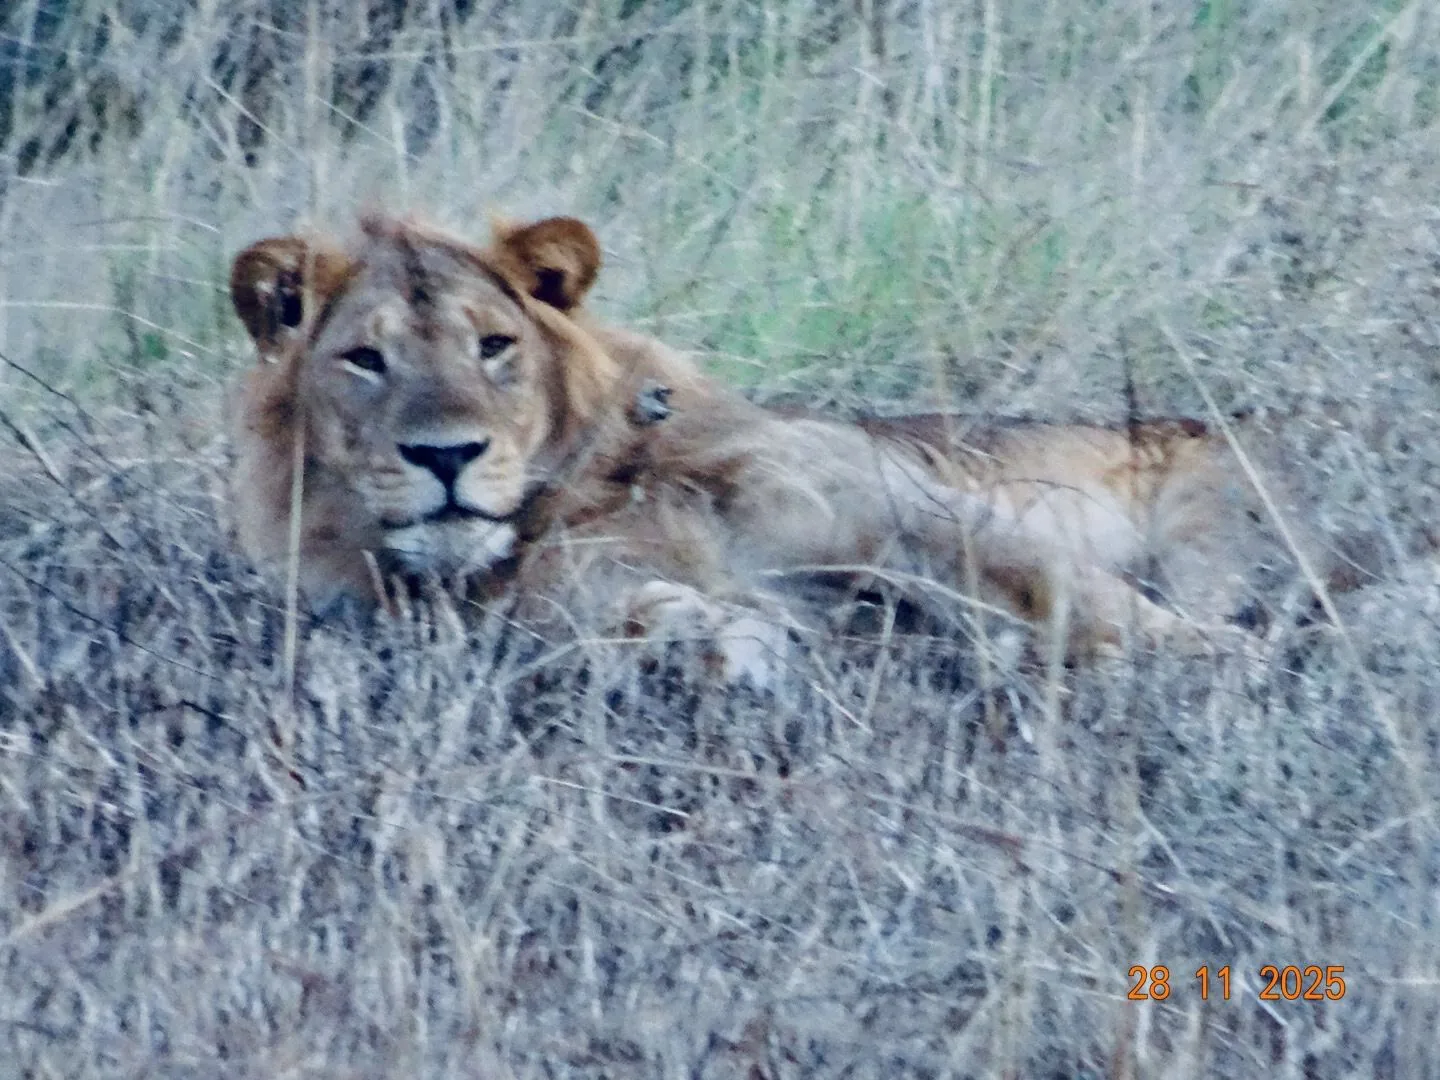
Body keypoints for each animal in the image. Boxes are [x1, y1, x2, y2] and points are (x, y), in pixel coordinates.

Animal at [226, 212, 1363, 676]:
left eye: (493, 346)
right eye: (365, 360)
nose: (447, 457)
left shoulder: (916, 507)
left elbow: (1090, 603)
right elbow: (658, 624)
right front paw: (715, 639)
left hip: (1218, 522)